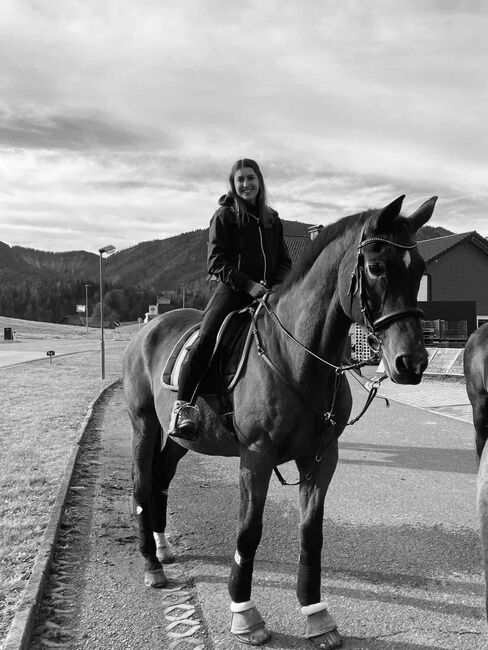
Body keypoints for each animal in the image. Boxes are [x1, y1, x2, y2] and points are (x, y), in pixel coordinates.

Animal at [124, 195, 436, 644]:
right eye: (377, 267)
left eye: (420, 271)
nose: (412, 362)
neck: (297, 356)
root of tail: (148, 329)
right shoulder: (256, 457)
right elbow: (249, 532)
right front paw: (244, 613)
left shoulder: (321, 458)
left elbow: (311, 534)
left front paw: (315, 613)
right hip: (144, 426)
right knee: (142, 484)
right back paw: (152, 563)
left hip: (180, 438)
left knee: (162, 477)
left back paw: (162, 545)